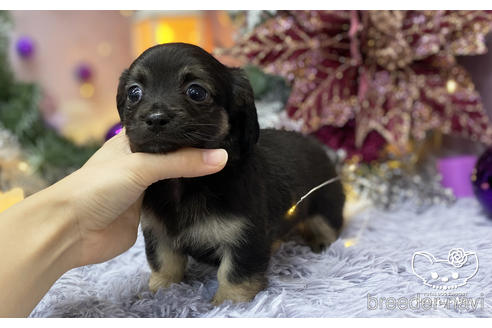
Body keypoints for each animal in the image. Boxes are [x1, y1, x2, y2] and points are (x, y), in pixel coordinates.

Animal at [117, 43, 344, 304]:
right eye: (134, 93)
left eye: (196, 92)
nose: (155, 118)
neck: (184, 184)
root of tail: (318, 146)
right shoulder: (158, 234)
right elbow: (165, 264)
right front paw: (160, 292)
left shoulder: (244, 237)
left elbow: (234, 274)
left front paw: (228, 303)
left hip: (325, 207)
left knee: (329, 227)